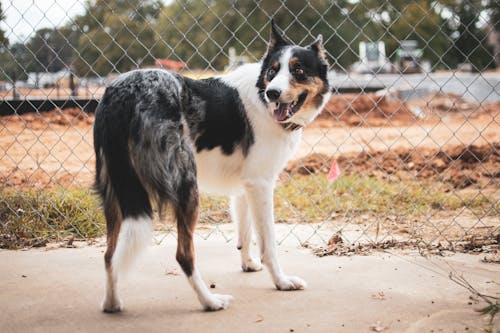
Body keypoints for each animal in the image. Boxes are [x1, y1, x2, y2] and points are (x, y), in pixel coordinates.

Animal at [94, 20, 332, 312]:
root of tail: (123, 93)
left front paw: (248, 264)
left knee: (109, 255)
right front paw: (281, 281)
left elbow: (245, 232)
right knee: (183, 255)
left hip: (115, 193)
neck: (260, 97)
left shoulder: (245, 187)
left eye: (298, 71)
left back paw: (112, 303)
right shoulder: (261, 184)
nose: (273, 92)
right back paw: (210, 302)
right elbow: (268, 243)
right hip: (186, 186)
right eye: (273, 71)